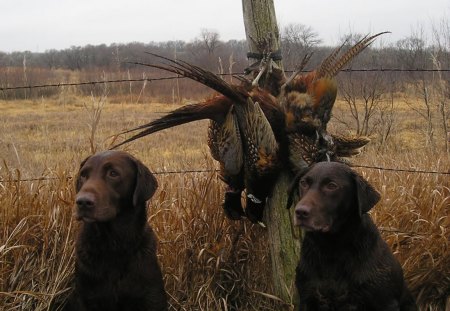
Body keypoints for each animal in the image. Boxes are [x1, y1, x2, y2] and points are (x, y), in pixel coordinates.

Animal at [64, 151, 168, 311]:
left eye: (113, 173)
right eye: (83, 175)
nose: (82, 202)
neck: (113, 244)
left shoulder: (152, 298)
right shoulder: (84, 297)